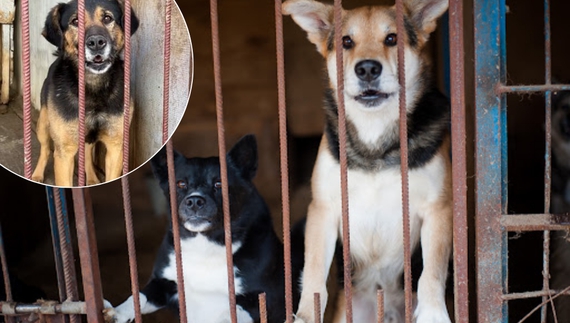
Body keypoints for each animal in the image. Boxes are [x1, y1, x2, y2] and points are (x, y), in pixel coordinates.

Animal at [31, 0, 139, 186]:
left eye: (107, 18)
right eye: (75, 21)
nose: (96, 42)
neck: (92, 87)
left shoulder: (115, 147)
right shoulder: (65, 153)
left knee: (87, 152)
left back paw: (92, 178)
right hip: (43, 125)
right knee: (46, 149)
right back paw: (37, 174)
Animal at [105, 134, 304, 323]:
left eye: (219, 184)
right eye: (181, 184)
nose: (194, 201)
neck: (205, 245)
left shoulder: (267, 300)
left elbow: (231, 313)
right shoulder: (163, 282)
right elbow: (139, 296)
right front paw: (117, 312)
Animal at [282, 0, 450, 323]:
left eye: (392, 38)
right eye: (347, 41)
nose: (368, 68)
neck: (375, 142)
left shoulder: (438, 210)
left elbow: (432, 272)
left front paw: (434, 312)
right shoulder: (323, 210)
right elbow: (313, 272)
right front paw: (306, 314)